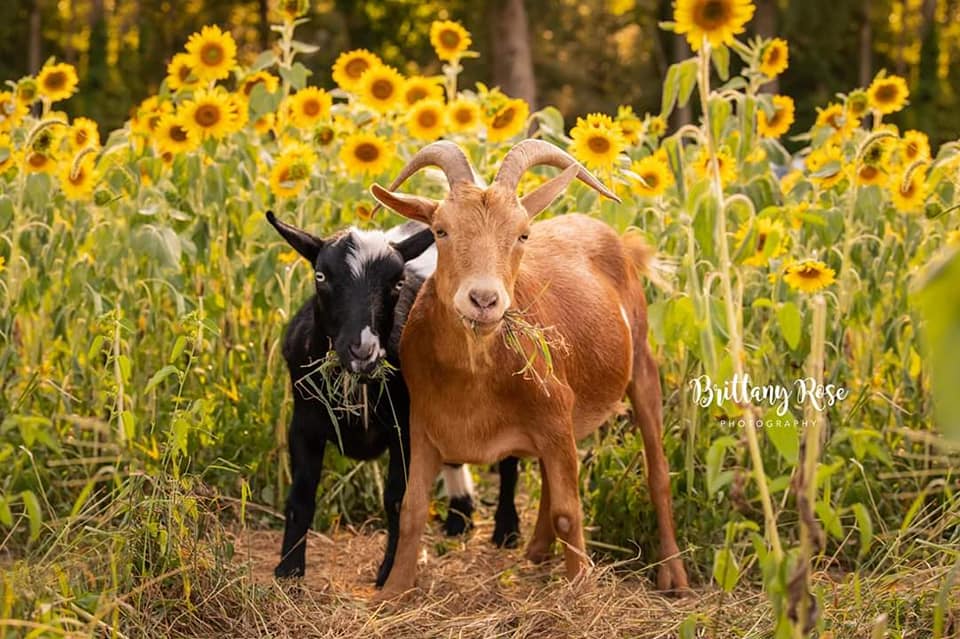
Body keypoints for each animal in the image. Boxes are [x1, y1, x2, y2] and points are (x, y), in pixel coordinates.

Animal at [266, 212, 521, 586]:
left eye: (398, 283)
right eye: (321, 276)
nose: (363, 349)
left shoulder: (405, 427)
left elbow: (398, 500)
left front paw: (390, 574)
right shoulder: (305, 423)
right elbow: (301, 496)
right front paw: (289, 570)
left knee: (509, 456)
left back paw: (506, 530)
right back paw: (459, 516)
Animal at [368, 140, 689, 599]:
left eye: (522, 234)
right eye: (441, 231)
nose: (484, 300)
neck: (475, 379)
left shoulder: (553, 413)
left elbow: (569, 513)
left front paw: (580, 592)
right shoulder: (423, 424)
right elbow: (411, 510)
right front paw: (393, 594)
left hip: (642, 362)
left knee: (657, 473)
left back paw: (674, 576)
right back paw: (537, 550)